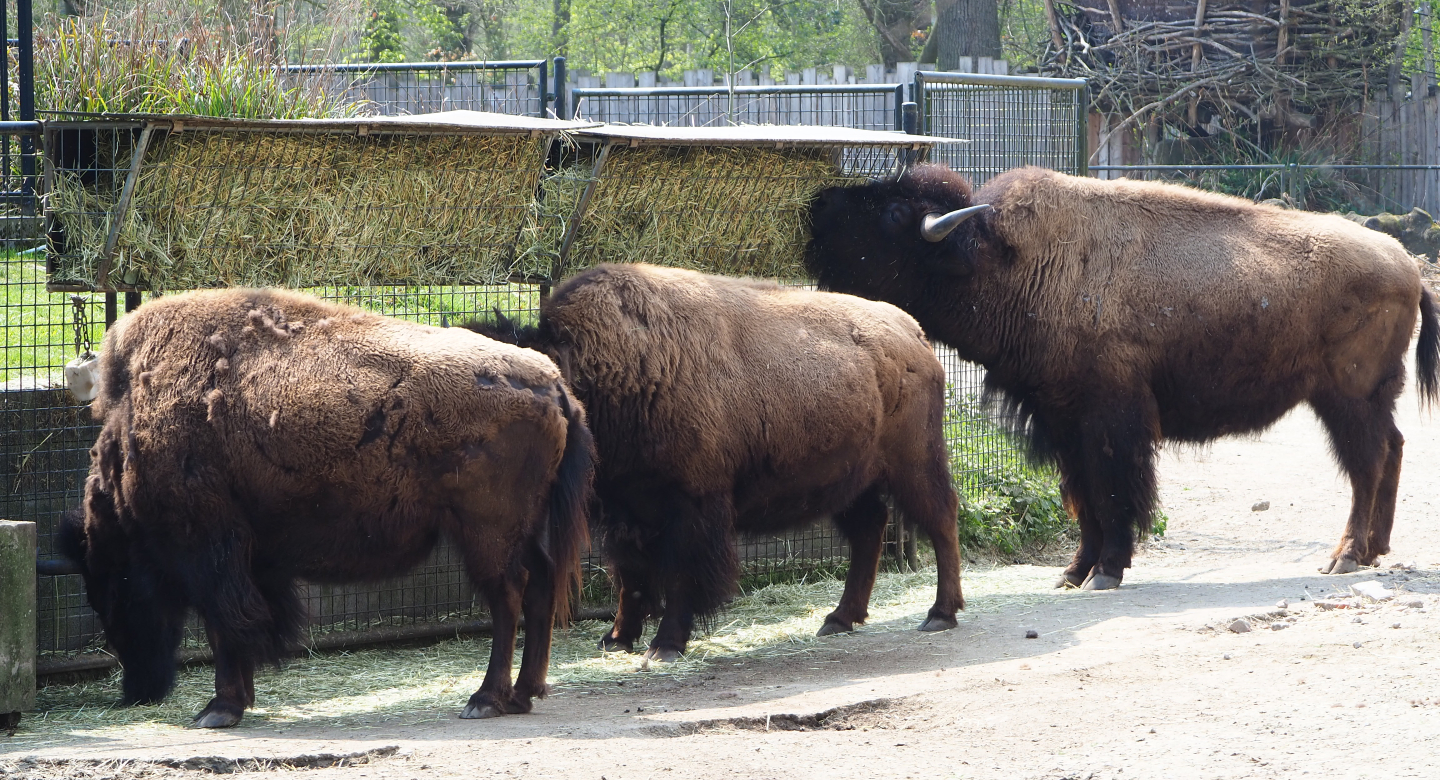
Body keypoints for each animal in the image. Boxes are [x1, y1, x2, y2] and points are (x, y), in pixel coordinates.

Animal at [59, 288, 594, 727]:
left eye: (114, 584)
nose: (137, 691)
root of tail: (553, 384)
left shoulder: (211, 552)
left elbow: (225, 625)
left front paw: (218, 709)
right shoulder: (248, 557)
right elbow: (239, 623)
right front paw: (238, 701)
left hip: (487, 534)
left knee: (508, 597)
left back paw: (484, 699)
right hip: (519, 531)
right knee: (541, 584)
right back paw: (523, 694)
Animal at [469, 263, 964, 661]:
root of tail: (914, 333)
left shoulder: (691, 507)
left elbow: (679, 576)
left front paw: (665, 646)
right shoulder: (628, 510)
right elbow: (630, 575)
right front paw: (616, 639)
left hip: (914, 464)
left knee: (940, 519)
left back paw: (940, 613)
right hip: (852, 480)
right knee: (870, 529)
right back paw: (839, 619)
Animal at [807, 164, 1440, 589]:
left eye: (892, 213)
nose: (816, 206)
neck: (1001, 258)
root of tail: (1408, 266)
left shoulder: (1111, 419)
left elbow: (1113, 491)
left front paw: (1107, 570)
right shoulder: (1062, 421)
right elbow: (1081, 495)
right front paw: (1073, 572)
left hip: (1346, 398)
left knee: (1366, 464)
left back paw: (1345, 556)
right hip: (1369, 398)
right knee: (1392, 449)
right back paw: (1375, 549)